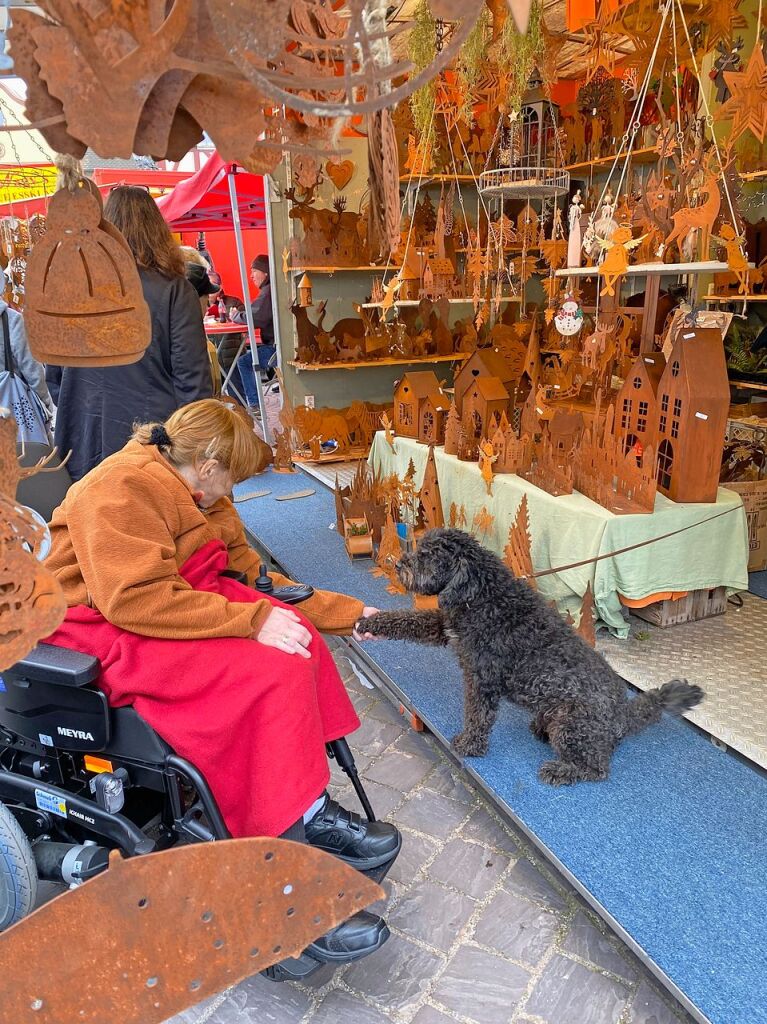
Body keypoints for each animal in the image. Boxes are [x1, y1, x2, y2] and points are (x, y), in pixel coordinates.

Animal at [356, 528, 704, 782]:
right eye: (420, 548)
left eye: (428, 557)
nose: (399, 564)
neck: (483, 595)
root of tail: (622, 715)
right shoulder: (443, 627)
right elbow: (405, 619)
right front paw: (369, 622)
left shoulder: (482, 681)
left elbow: (477, 717)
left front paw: (469, 745)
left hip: (571, 724)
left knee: (597, 769)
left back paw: (561, 770)